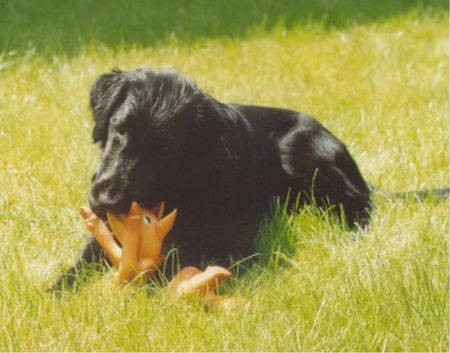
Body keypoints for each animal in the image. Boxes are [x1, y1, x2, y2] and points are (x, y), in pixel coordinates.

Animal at [51, 67, 446, 290]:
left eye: (164, 148)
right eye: (119, 130)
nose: (105, 201)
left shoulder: (236, 243)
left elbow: (178, 265)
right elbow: (80, 266)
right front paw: (56, 294)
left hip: (299, 146)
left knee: (360, 204)